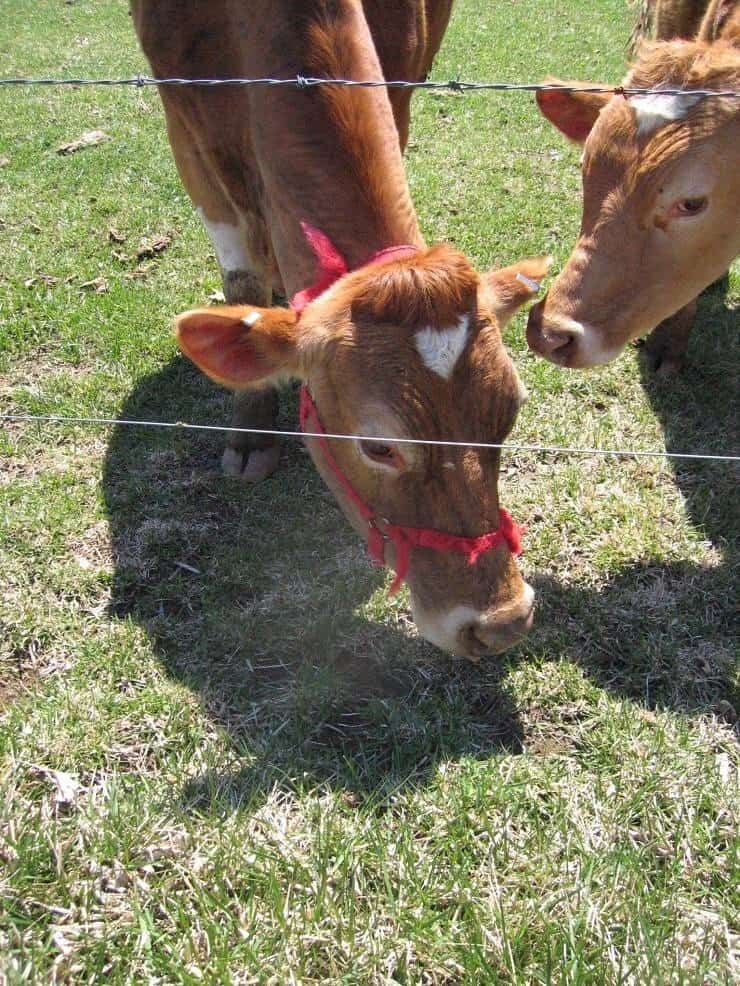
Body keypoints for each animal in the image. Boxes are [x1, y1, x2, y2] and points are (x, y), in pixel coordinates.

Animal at [132, 1, 548, 659]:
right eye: (377, 447)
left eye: (508, 414)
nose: (503, 622)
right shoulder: (189, 136)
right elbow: (242, 280)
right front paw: (251, 431)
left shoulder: (400, 83)